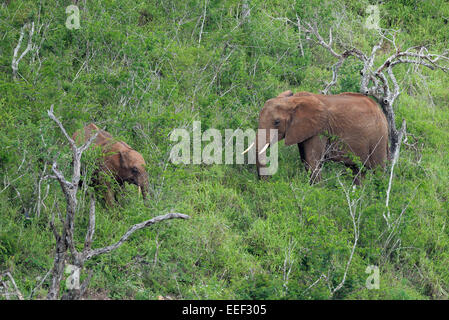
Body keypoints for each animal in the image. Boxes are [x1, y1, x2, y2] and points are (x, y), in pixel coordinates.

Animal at [245, 91, 388, 184]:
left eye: (276, 122)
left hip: (378, 137)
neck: (293, 101)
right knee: (358, 170)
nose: (266, 182)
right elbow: (305, 160)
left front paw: (317, 191)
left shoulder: (320, 129)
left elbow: (312, 161)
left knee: (378, 169)